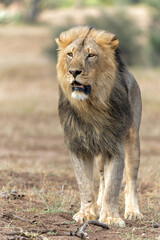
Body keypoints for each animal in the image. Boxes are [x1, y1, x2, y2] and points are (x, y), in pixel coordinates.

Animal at [55, 26, 143, 227]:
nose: (74, 71)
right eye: (70, 54)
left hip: (133, 140)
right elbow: (85, 184)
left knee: (131, 181)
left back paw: (133, 212)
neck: (91, 107)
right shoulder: (78, 146)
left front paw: (110, 217)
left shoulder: (115, 147)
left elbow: (113, 186)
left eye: (91, 55)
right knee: (102, 177)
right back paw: (100, 204)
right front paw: (87, 213)